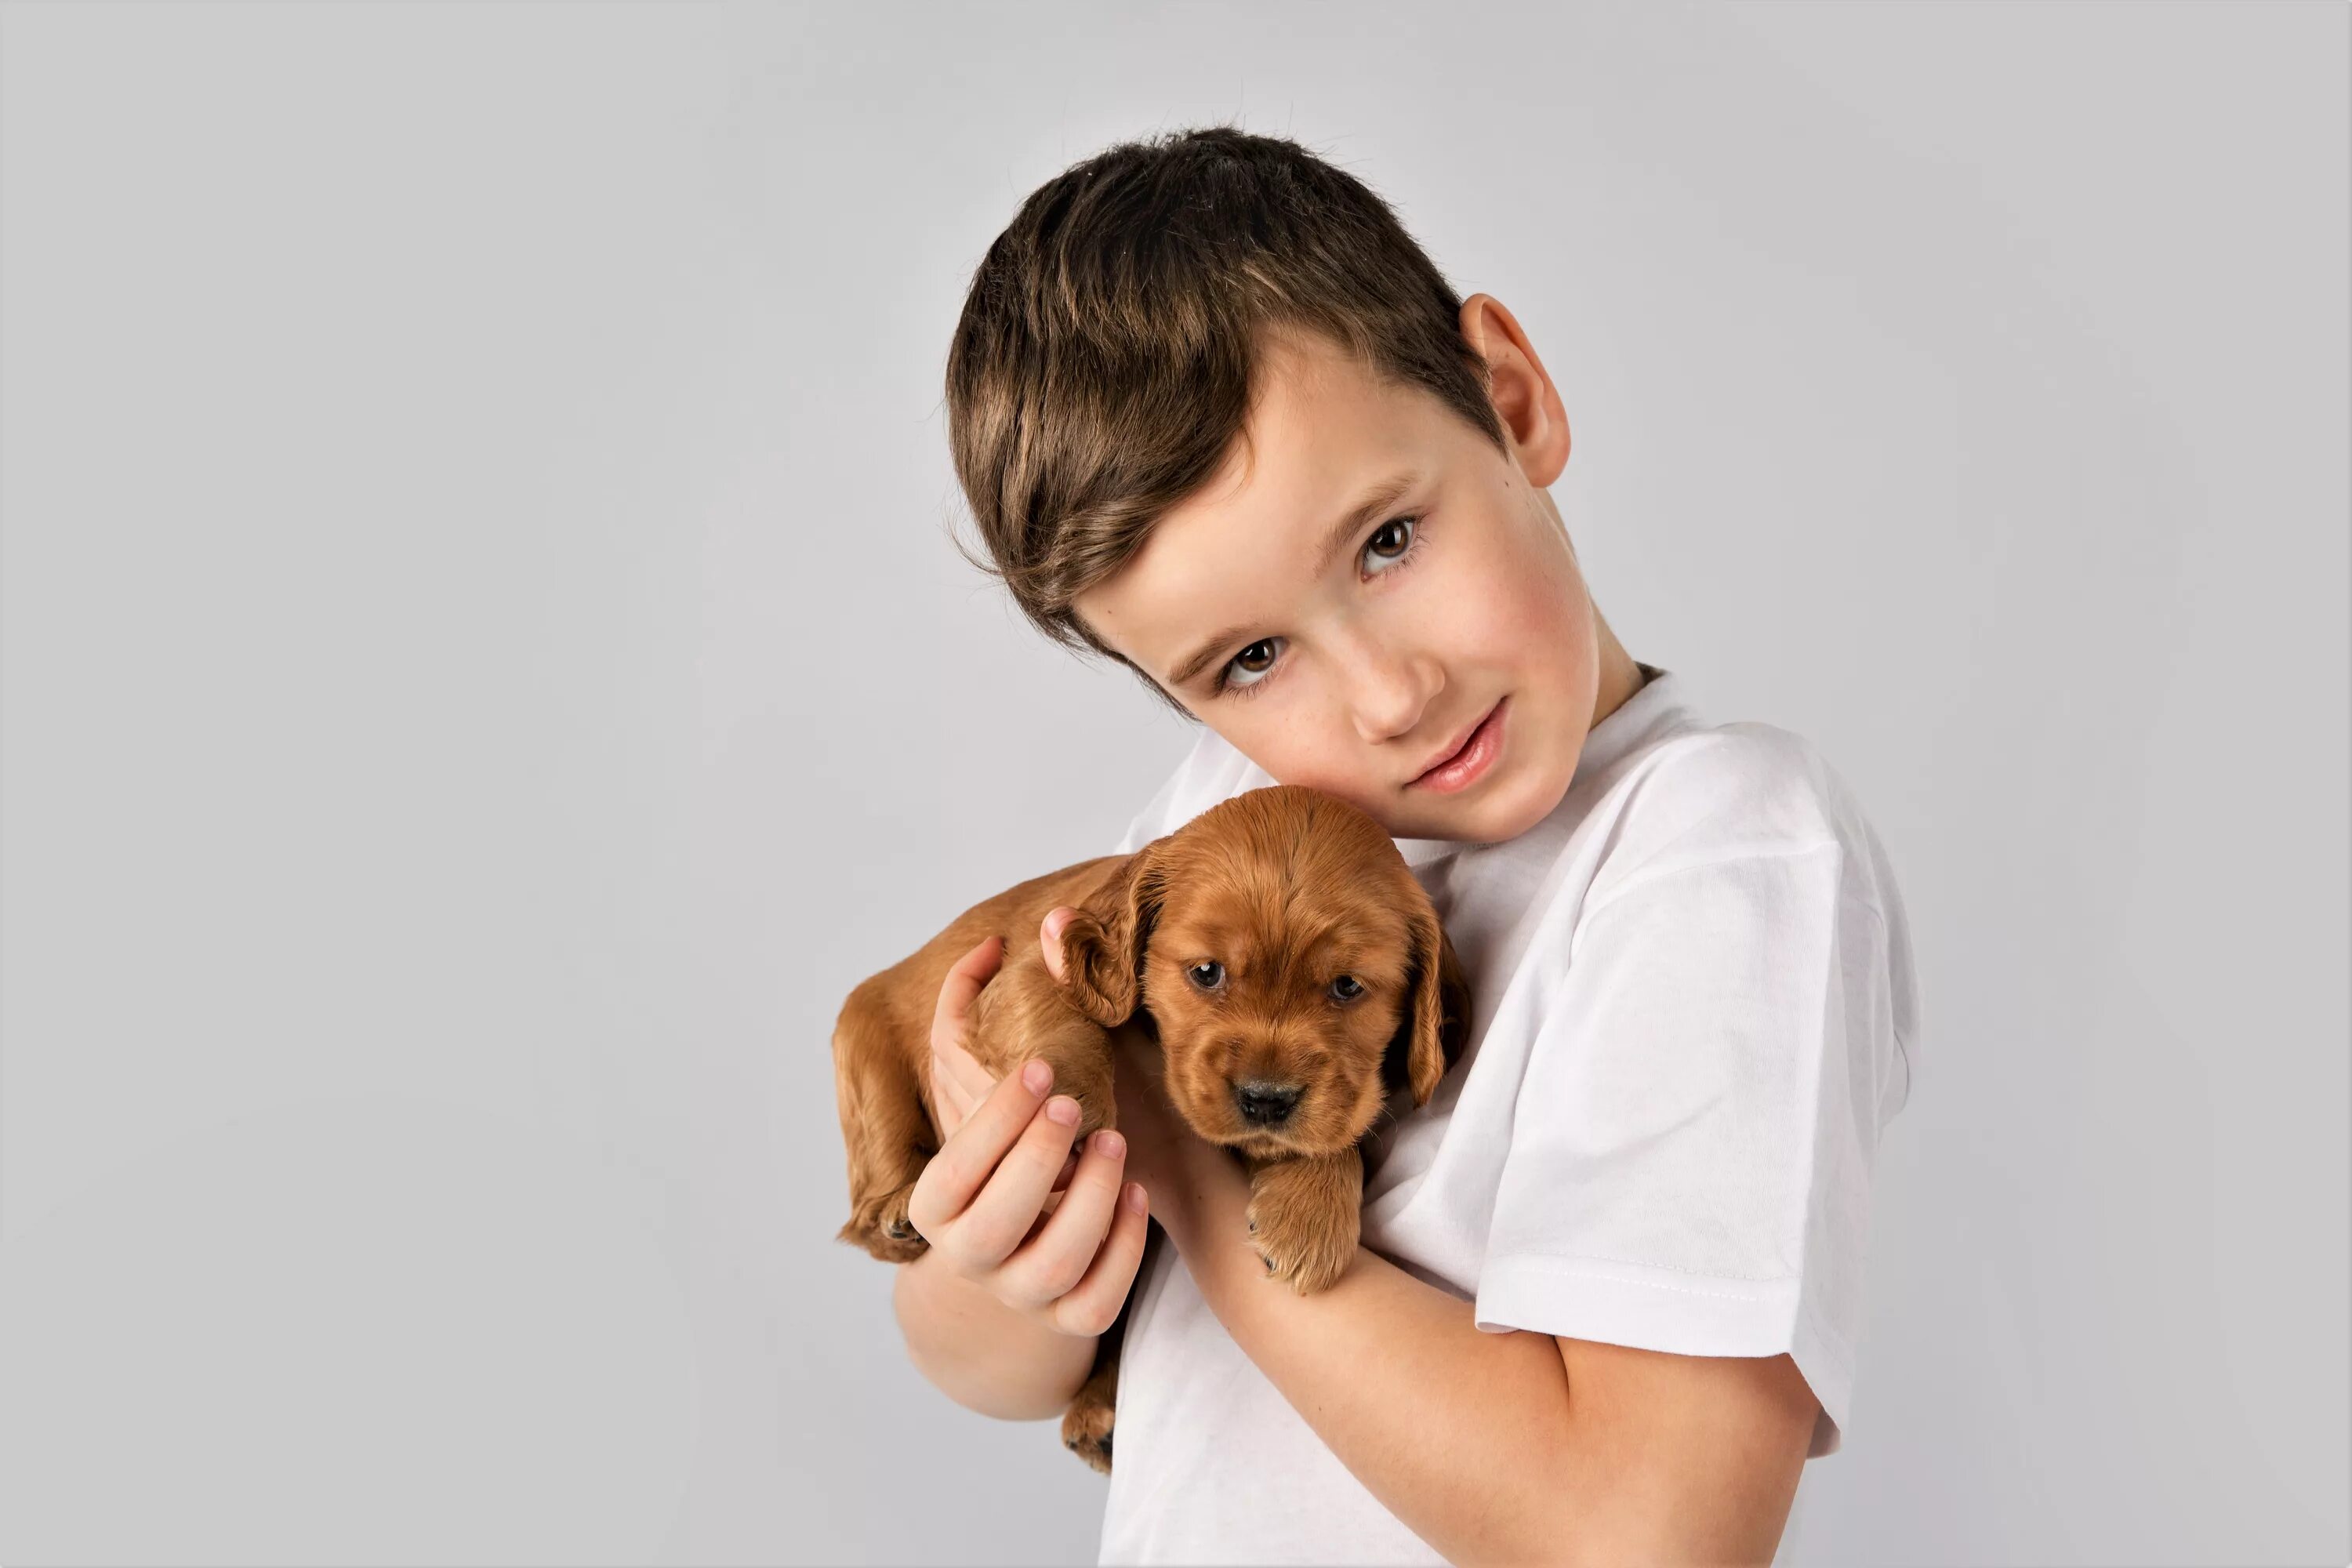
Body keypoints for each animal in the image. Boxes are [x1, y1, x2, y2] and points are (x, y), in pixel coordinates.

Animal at [837, 789, 1468, 1476]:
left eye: (1348, 986)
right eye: (1207, 972)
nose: (1265, 1099)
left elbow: (1332, 1130)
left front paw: (1311, 1216)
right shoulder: (1029, 963)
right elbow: (1060, 1009)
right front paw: (1066, 1104)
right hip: (864, 1035)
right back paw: (895, 1212)